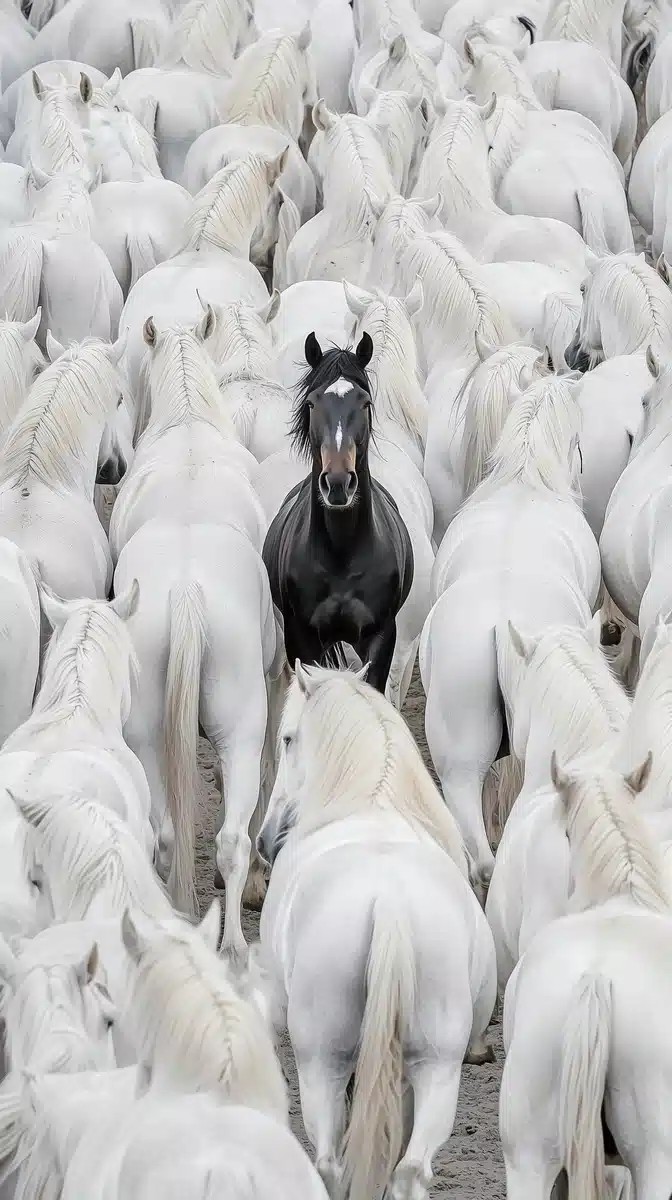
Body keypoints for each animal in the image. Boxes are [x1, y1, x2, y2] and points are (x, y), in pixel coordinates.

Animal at [257, 664, 496, 1200]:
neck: (372, 801)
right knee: (410, 1168)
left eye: (286, 738)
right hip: (437, 1066)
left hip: (321, 1062)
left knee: (329, 1161)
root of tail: (389, 904)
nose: (266, 839)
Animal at [262, 334, 414, 693]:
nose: (338, 483)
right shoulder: (301, 638)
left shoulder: (381, 635)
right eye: (312, 403)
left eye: (365, 403)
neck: (342, 553)